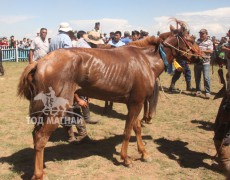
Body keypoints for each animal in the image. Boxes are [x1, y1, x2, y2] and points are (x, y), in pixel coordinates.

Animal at [17, 20, 203, 179]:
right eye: (191, 39)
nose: (202, 56)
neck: (146, 62)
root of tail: (39, 63)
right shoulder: (137, 103)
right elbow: (127, 131)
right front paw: (126, 158)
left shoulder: (133, 103)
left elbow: (136, 128)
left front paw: (144, 153)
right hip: (57, 109)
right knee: (41, 137)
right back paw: (39, 175)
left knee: (35, 134)